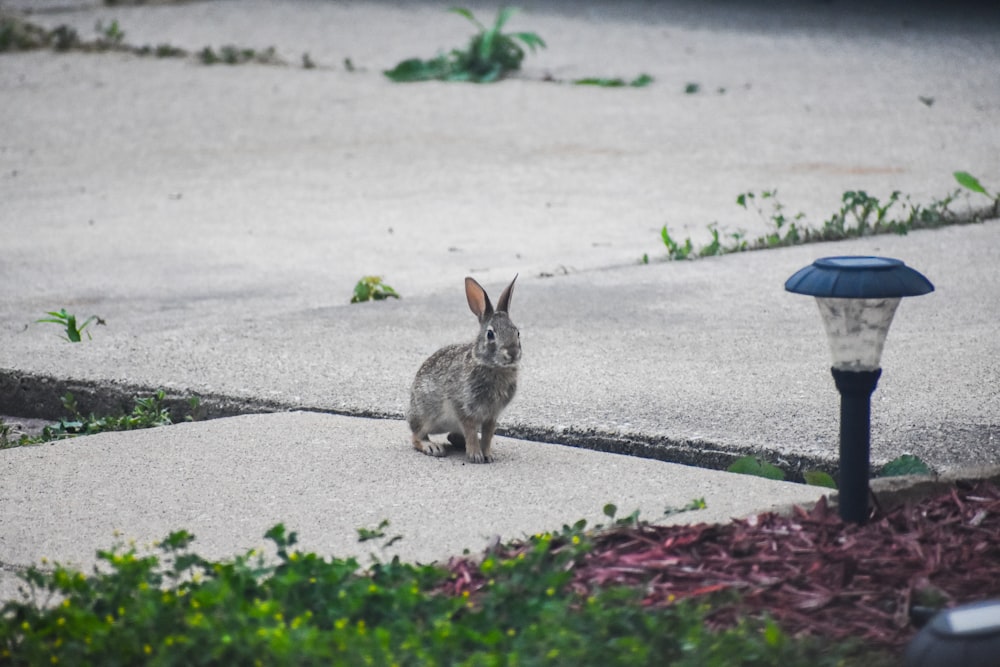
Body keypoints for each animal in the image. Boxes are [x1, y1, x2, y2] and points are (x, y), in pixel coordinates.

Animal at [410, 274, 524, 462]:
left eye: (517, 332)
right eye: (490, 334)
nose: (513, 353)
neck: (492, 366)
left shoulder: (491, 415)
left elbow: (488, 435)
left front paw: (488, 455)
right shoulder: (463, 408)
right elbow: (470, 430)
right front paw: (476, 455)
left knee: (452, 436)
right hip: (425, 415)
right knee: (416, 436)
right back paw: (432, 447)